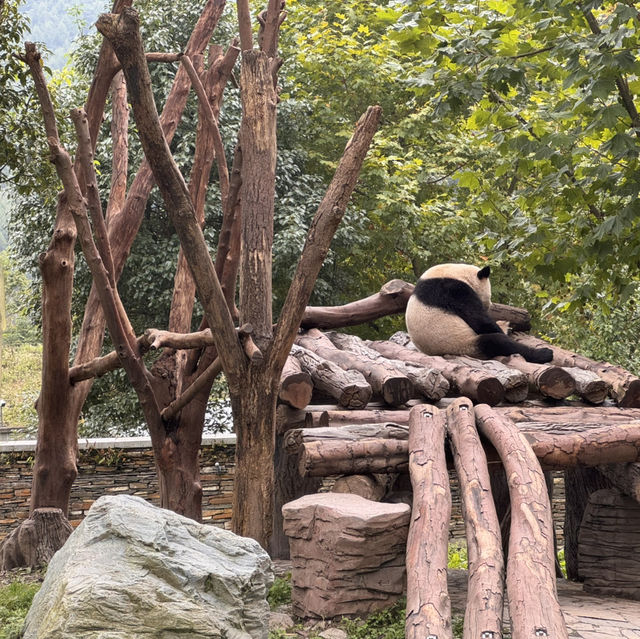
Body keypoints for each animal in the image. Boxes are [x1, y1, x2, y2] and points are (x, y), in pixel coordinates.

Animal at [408, 264, 552, 364]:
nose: (489, 305)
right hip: (464, 344)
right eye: (489, 295)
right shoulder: (452, 290)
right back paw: (544, 353)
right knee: (497, 342)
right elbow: (478, 319)